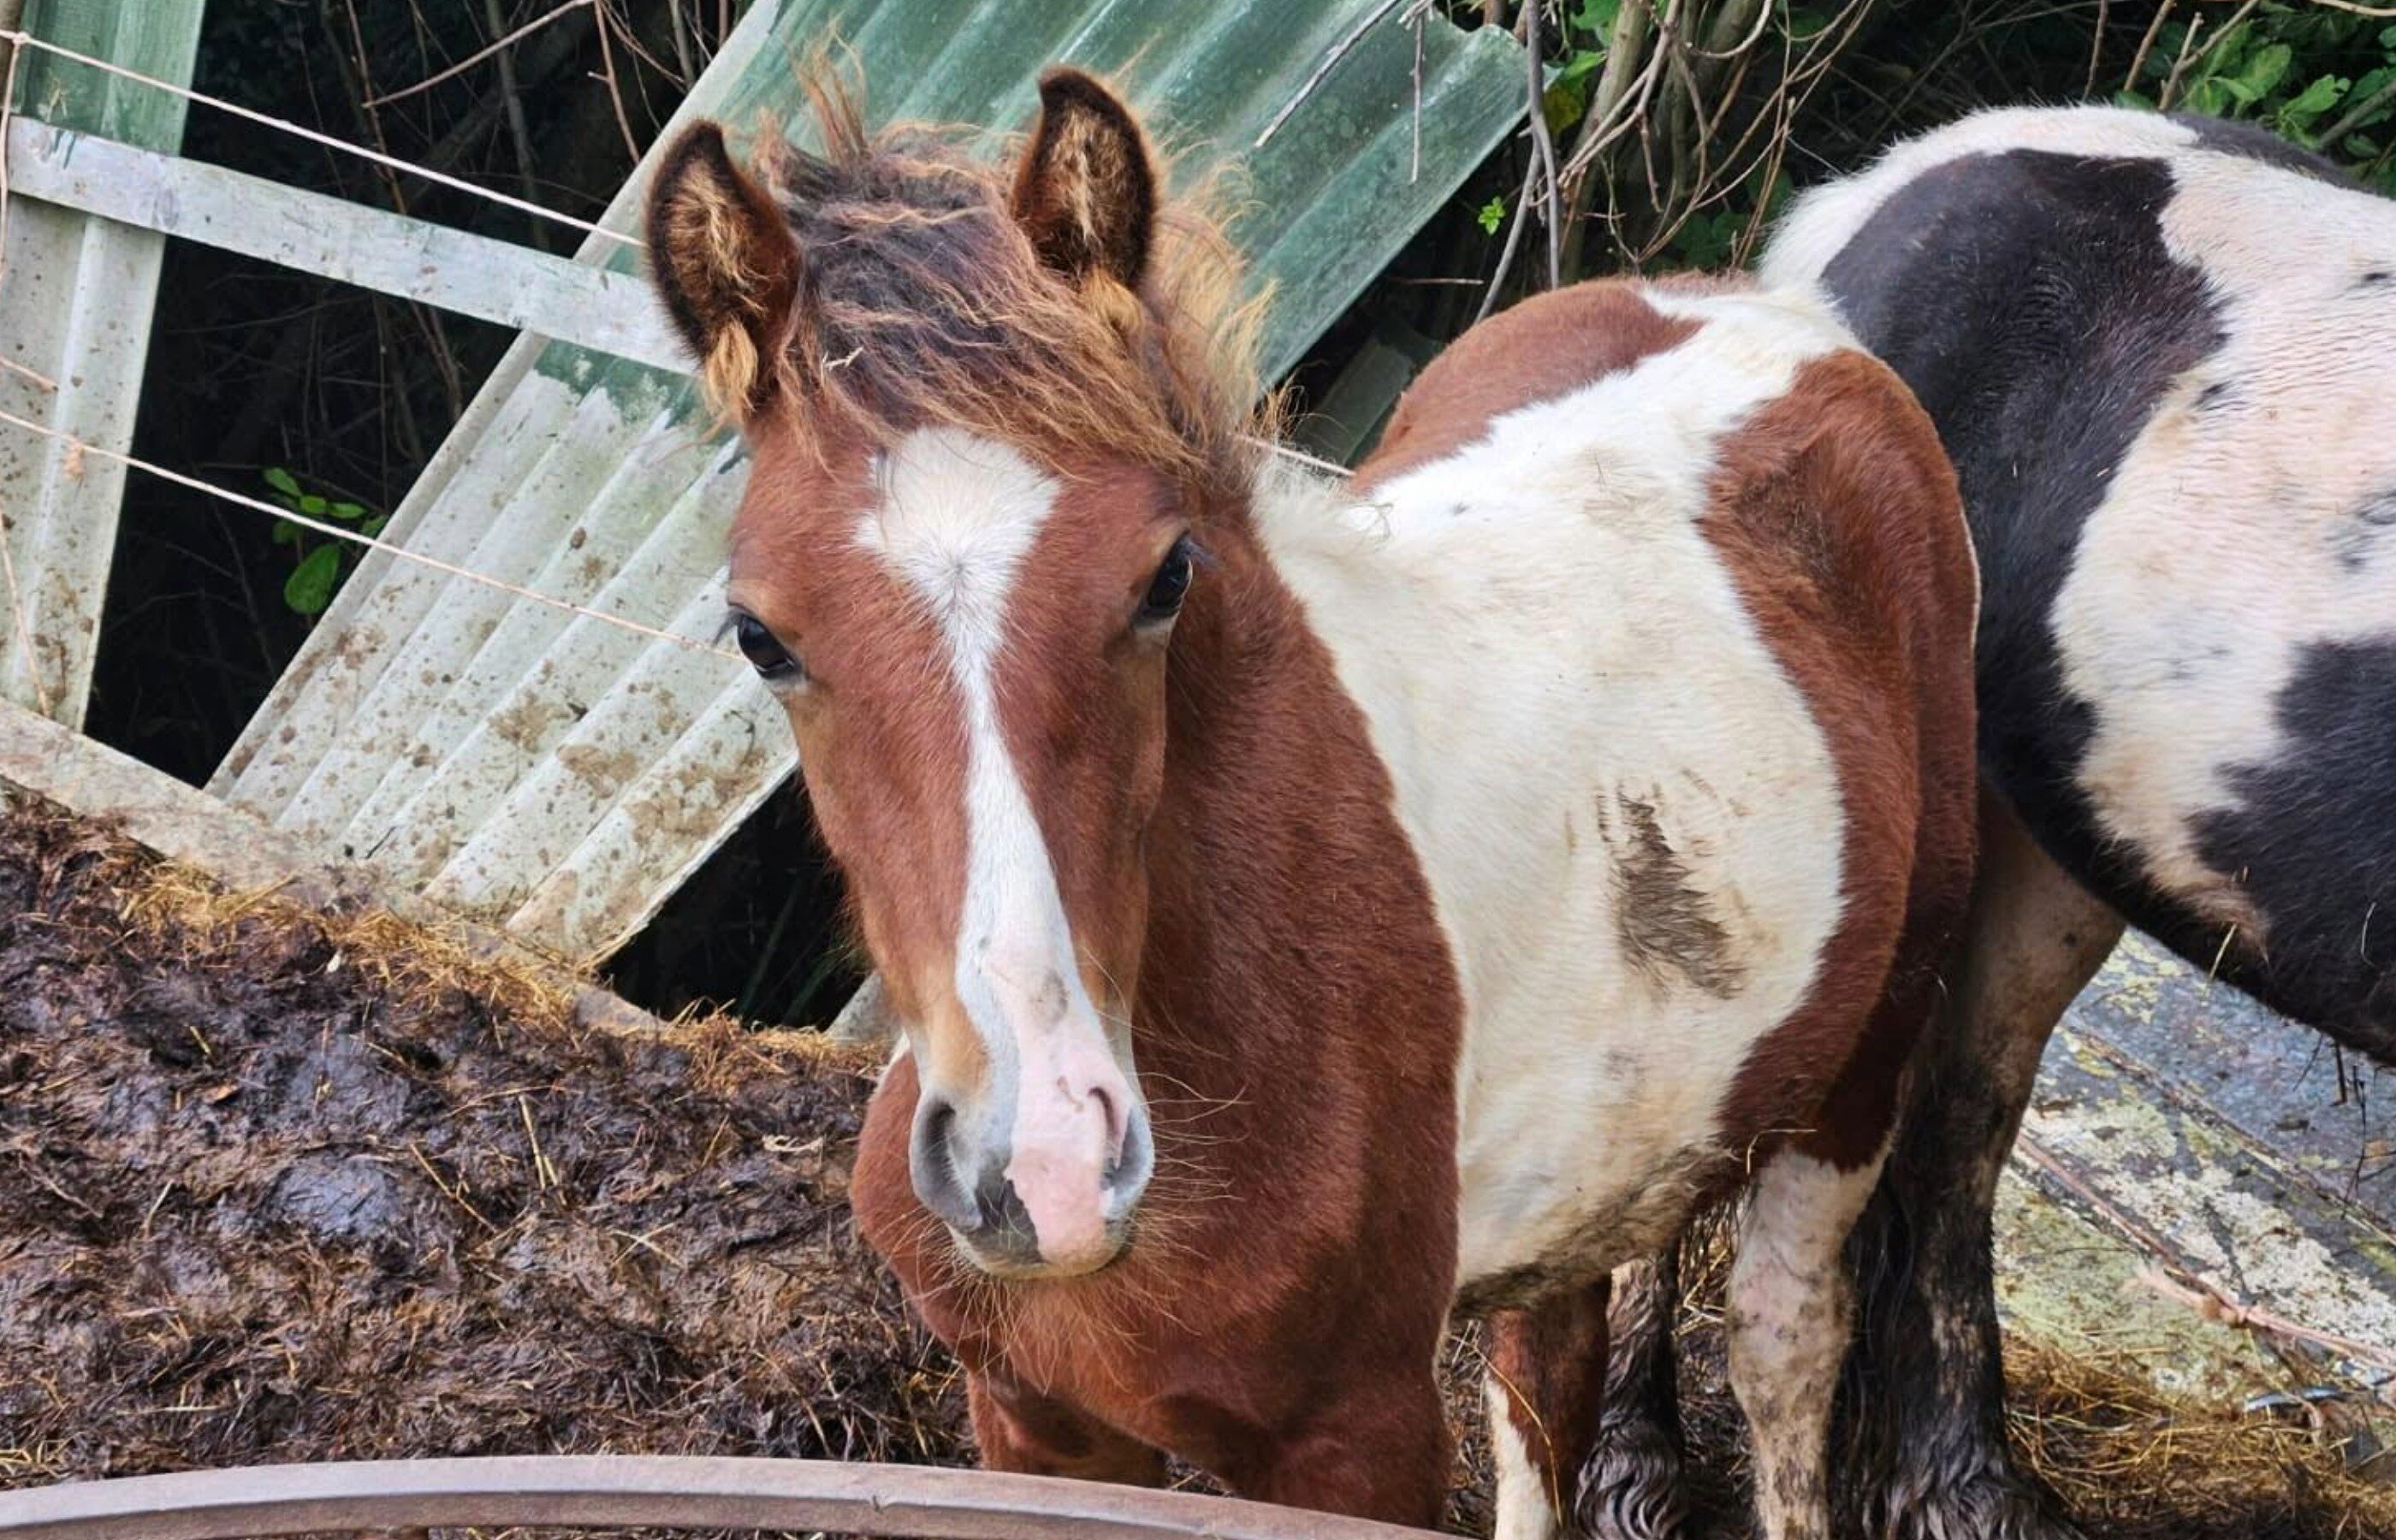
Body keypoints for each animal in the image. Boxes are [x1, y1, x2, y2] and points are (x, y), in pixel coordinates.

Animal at [642, 67, 1980, 1540]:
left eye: (1165, 576)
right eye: (760, 634)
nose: (1042, 1166)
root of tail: (1779, 318)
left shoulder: (1353, 1449)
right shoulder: (1036, 1420)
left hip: (1859, 1071)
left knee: (1780, 1348)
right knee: (1545, 1375)